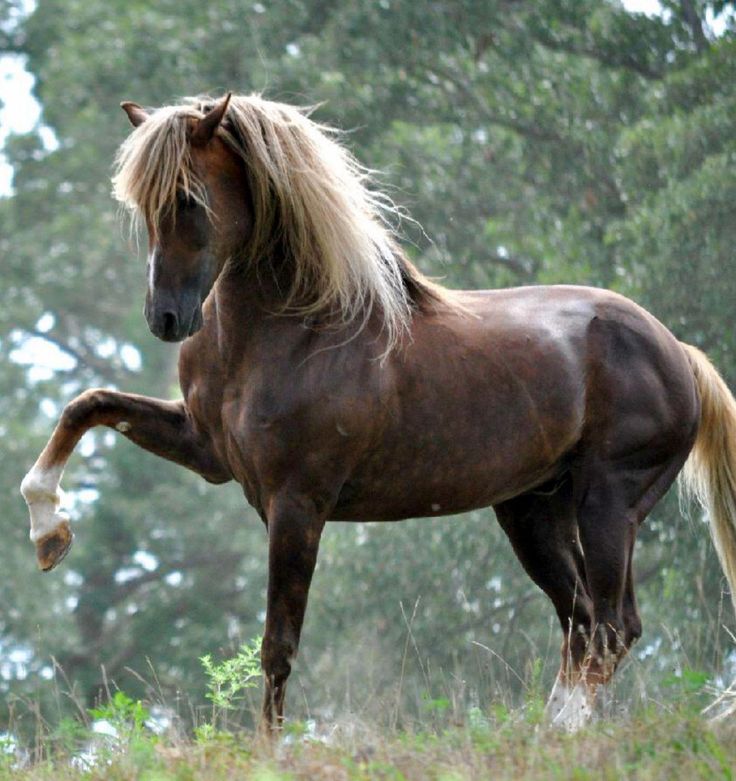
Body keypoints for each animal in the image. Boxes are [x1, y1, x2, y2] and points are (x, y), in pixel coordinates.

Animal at [18, 93, 736, 732]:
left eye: (190, 199)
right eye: (141, 203)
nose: (167, 318)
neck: (290, 330)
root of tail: (677, 350)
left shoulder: (297, 503)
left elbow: (278, 645)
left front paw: (270, 749)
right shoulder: (206, 450)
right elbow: (88, 405)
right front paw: (49, 529)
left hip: (609, 503)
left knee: (611, 628)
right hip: (532, 510)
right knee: (583, 624)